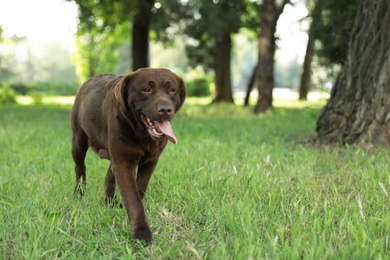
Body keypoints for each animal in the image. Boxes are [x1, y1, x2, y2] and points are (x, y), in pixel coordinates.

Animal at [71, 68, 187, 243]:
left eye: (172, 90)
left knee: (108, 176)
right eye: (146, 89)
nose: (165, 109)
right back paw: (78, 194)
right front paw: (141, 232)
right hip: (78, 141)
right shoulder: (123, 162)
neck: (143, 136)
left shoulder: (150, 161)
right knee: (80, 169)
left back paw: (110, 203)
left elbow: (139, 188)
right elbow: (133, 198)